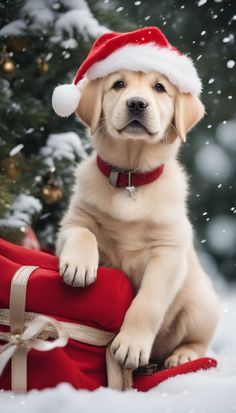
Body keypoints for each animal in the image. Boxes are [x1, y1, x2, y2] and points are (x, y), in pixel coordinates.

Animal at [55, 69, 219, 368]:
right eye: (118, 84)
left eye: (160, 87)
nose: (137, 104)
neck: (130, 179)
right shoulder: (72, 222)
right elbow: (83, 232)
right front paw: (78, 266)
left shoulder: (168, 253)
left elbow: (148, 303)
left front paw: (131, 345)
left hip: (201, 306)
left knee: (199, 342)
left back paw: (183, 356)